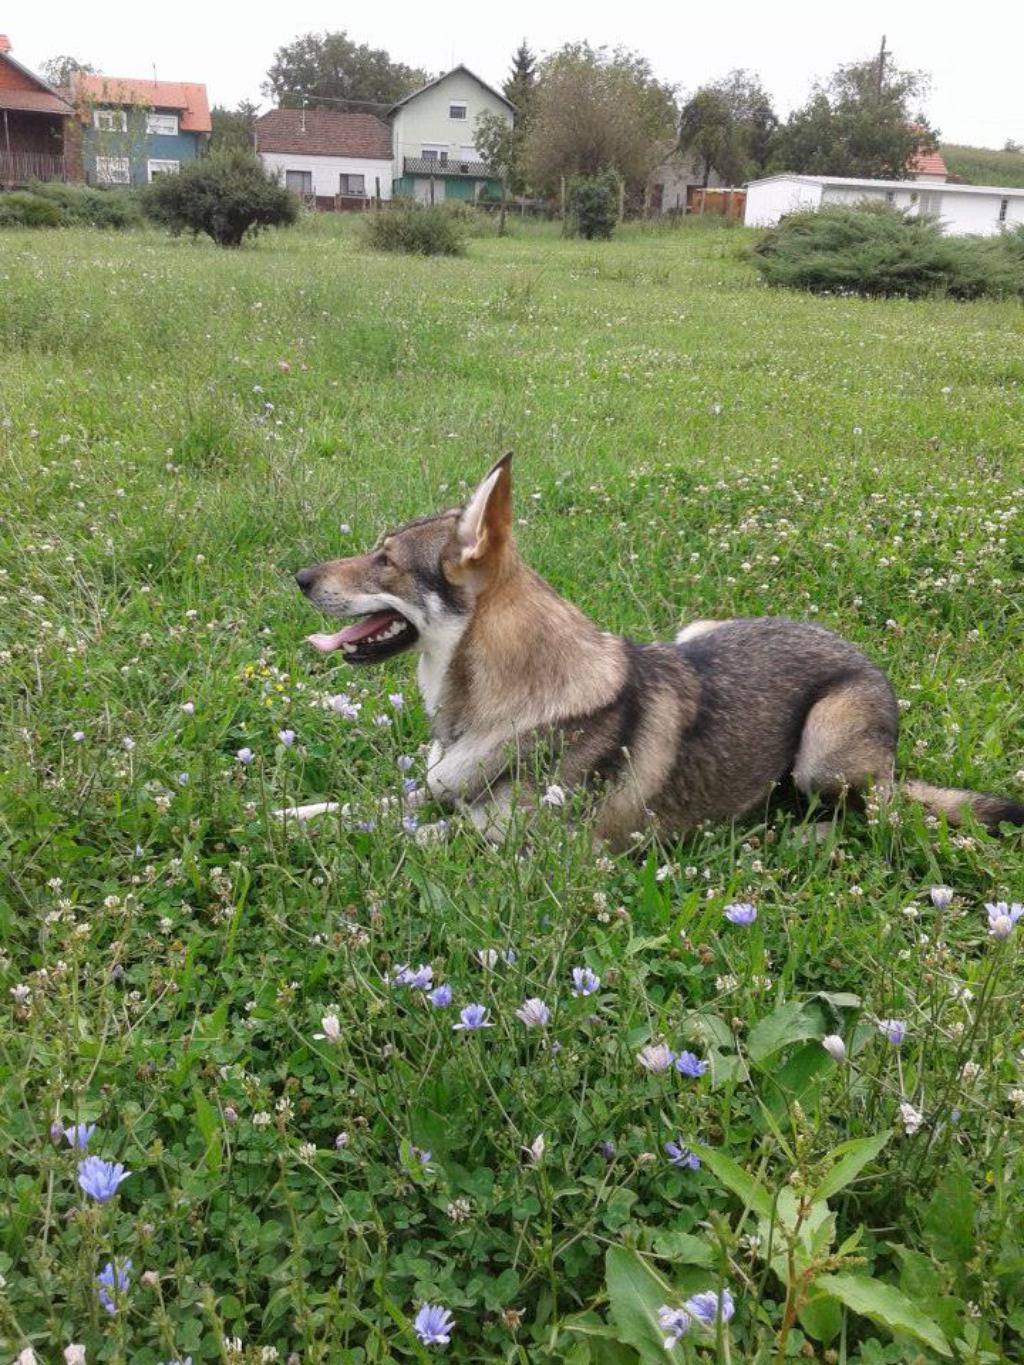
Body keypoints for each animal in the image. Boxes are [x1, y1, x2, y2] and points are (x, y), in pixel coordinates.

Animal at [290, 455, 1024, 840]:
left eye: (385, 561)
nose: (297, 577)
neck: (489, 709)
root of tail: (863, 653)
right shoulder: (435, 792)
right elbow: (359, 808)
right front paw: (284, 812)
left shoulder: (514, 843)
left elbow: (397, 832)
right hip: (698, 628)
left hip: (823, 755)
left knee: (867, 812)